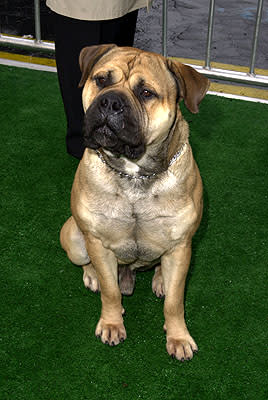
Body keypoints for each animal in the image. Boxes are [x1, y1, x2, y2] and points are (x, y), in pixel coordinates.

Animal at [60, 44, 209, 362]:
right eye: (101, 80)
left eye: (146, 93)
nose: (110, 102)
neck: (133, 173)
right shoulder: (98, 243)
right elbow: (110, 292)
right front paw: (111, 323)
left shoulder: (181, 246)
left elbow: (175, 302)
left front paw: (178, 337)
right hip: (75, 239)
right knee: (86, 262)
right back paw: (92, 275)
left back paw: (161, 278)